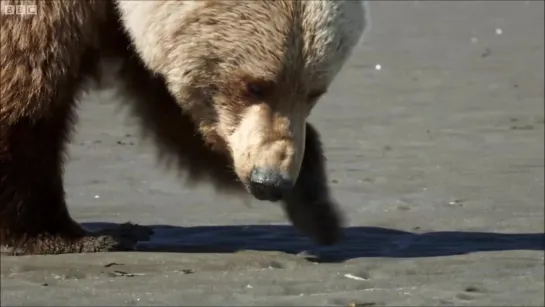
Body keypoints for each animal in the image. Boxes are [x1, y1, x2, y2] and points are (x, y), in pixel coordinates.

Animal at [0, 0, 368, 255]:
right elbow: (29, 89)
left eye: (314, 91)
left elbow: (171, 108)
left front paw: (316, 203)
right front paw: (60, 233)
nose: (270, 181)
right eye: (255, 86)